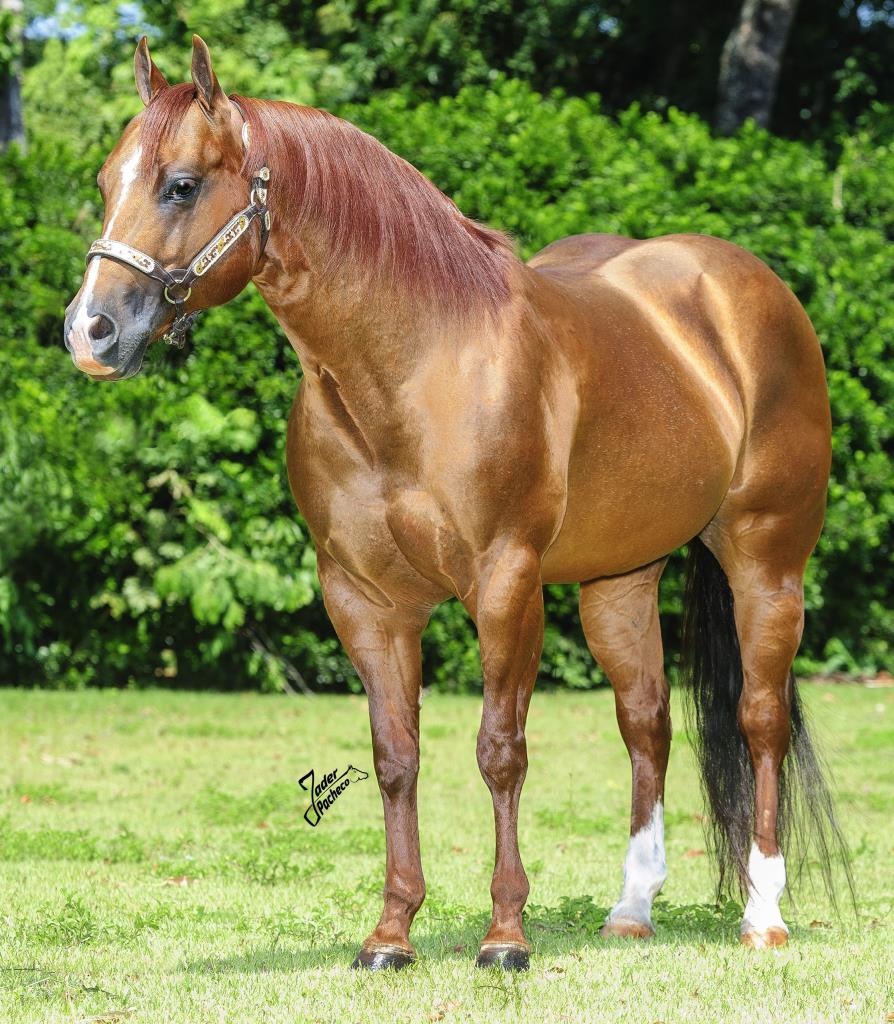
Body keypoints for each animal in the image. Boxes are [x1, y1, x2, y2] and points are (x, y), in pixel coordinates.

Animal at [64, 36, 847, 971]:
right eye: (106, 181)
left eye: (180, 184)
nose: (90, 332)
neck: (414, 363)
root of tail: (748, 287)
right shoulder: (365, 600)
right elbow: (396, 755)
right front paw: (391, 934)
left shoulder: (505, 583)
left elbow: (499, 752)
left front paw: (504, 934)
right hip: (619, 582)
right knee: (646, 723)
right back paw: (631, 909)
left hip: (768, 560)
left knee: (760, 720)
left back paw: (763, 913)